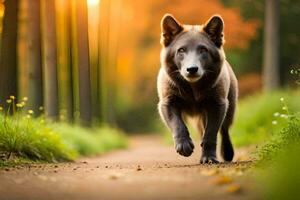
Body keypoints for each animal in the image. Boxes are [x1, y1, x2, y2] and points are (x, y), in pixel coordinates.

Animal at [157, 14, 239, 164]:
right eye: (181, 50)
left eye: (203, 50)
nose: (192, 69)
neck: (193, 90)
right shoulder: (167, 103)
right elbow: (177, 124)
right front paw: (184, 145)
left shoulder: (218, 104)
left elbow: (211, 133)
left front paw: (209, 158)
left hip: (230, 109)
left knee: (224, 131)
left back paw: (227, 153)